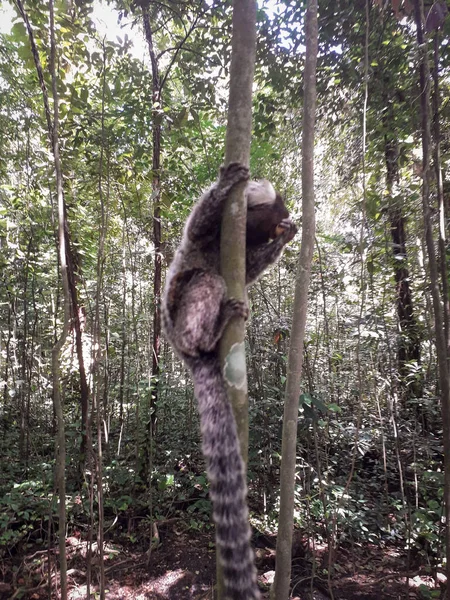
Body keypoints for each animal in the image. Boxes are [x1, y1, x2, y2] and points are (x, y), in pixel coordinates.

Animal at [163, 163, 298, 600]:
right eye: (273, 212)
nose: (281, 226)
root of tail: (186, 354)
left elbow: (250, 270)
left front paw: (288, 238)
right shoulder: (208, 234)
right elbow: (198, 227)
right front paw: (226, 183)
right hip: (180, 318)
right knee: (207, 280)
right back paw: (210, 332)